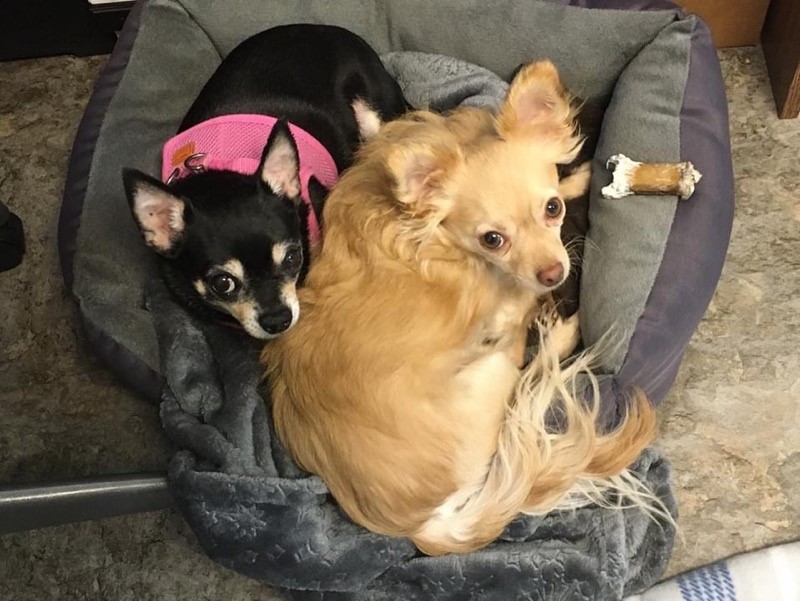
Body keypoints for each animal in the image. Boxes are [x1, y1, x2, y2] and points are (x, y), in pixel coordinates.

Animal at [263, 61, 656, 555]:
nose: (553, 274)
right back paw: (559, 331)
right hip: (492, 372)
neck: (427, 230)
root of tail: (416, 525)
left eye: (552, 209)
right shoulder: (501, 297)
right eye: (492, 239)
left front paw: (579, 176)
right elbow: (518, 305)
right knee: (528, 369)